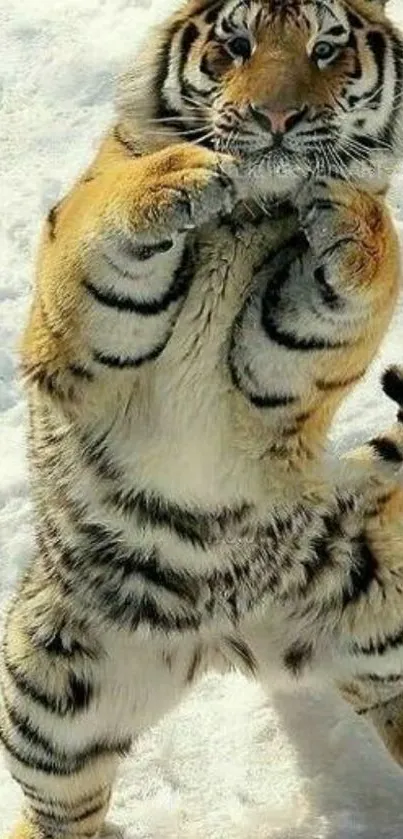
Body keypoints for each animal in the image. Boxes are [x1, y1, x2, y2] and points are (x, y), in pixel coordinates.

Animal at [2, 0, 403, 836]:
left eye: (326, 49)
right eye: (236, 43)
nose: (278, 117)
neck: (248, 215)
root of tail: (233, 636)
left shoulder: (279, 374)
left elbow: (360, 270)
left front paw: (346, 213)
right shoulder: (73, 327)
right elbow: (103, 222)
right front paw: (177, 176)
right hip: (49, 701)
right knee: (60, 811)